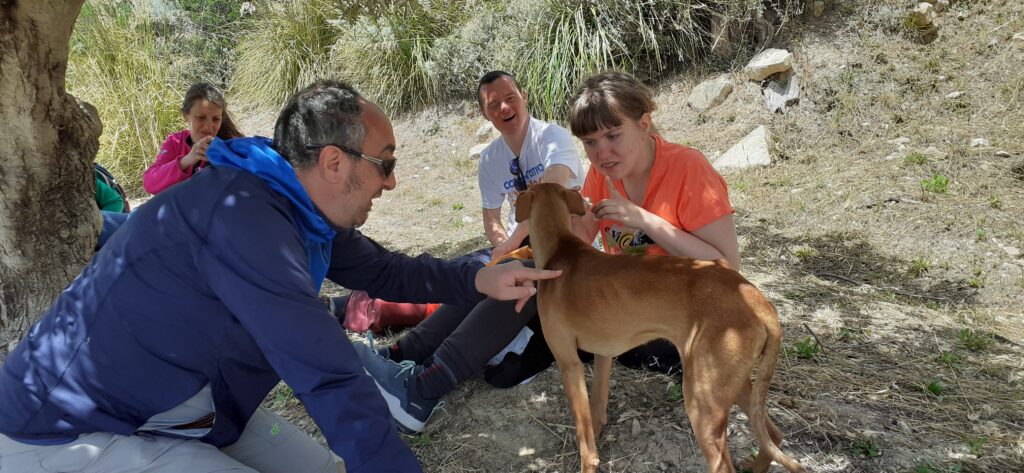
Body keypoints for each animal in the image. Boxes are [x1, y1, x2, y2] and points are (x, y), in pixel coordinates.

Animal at [516, 184, 802, 473]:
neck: (560, 250)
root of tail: (757, 300)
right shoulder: (604, 355)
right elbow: (596, 409)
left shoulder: (569, 364)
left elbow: (584, 437)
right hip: (734, 385)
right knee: (773, 434)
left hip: (702, 402)